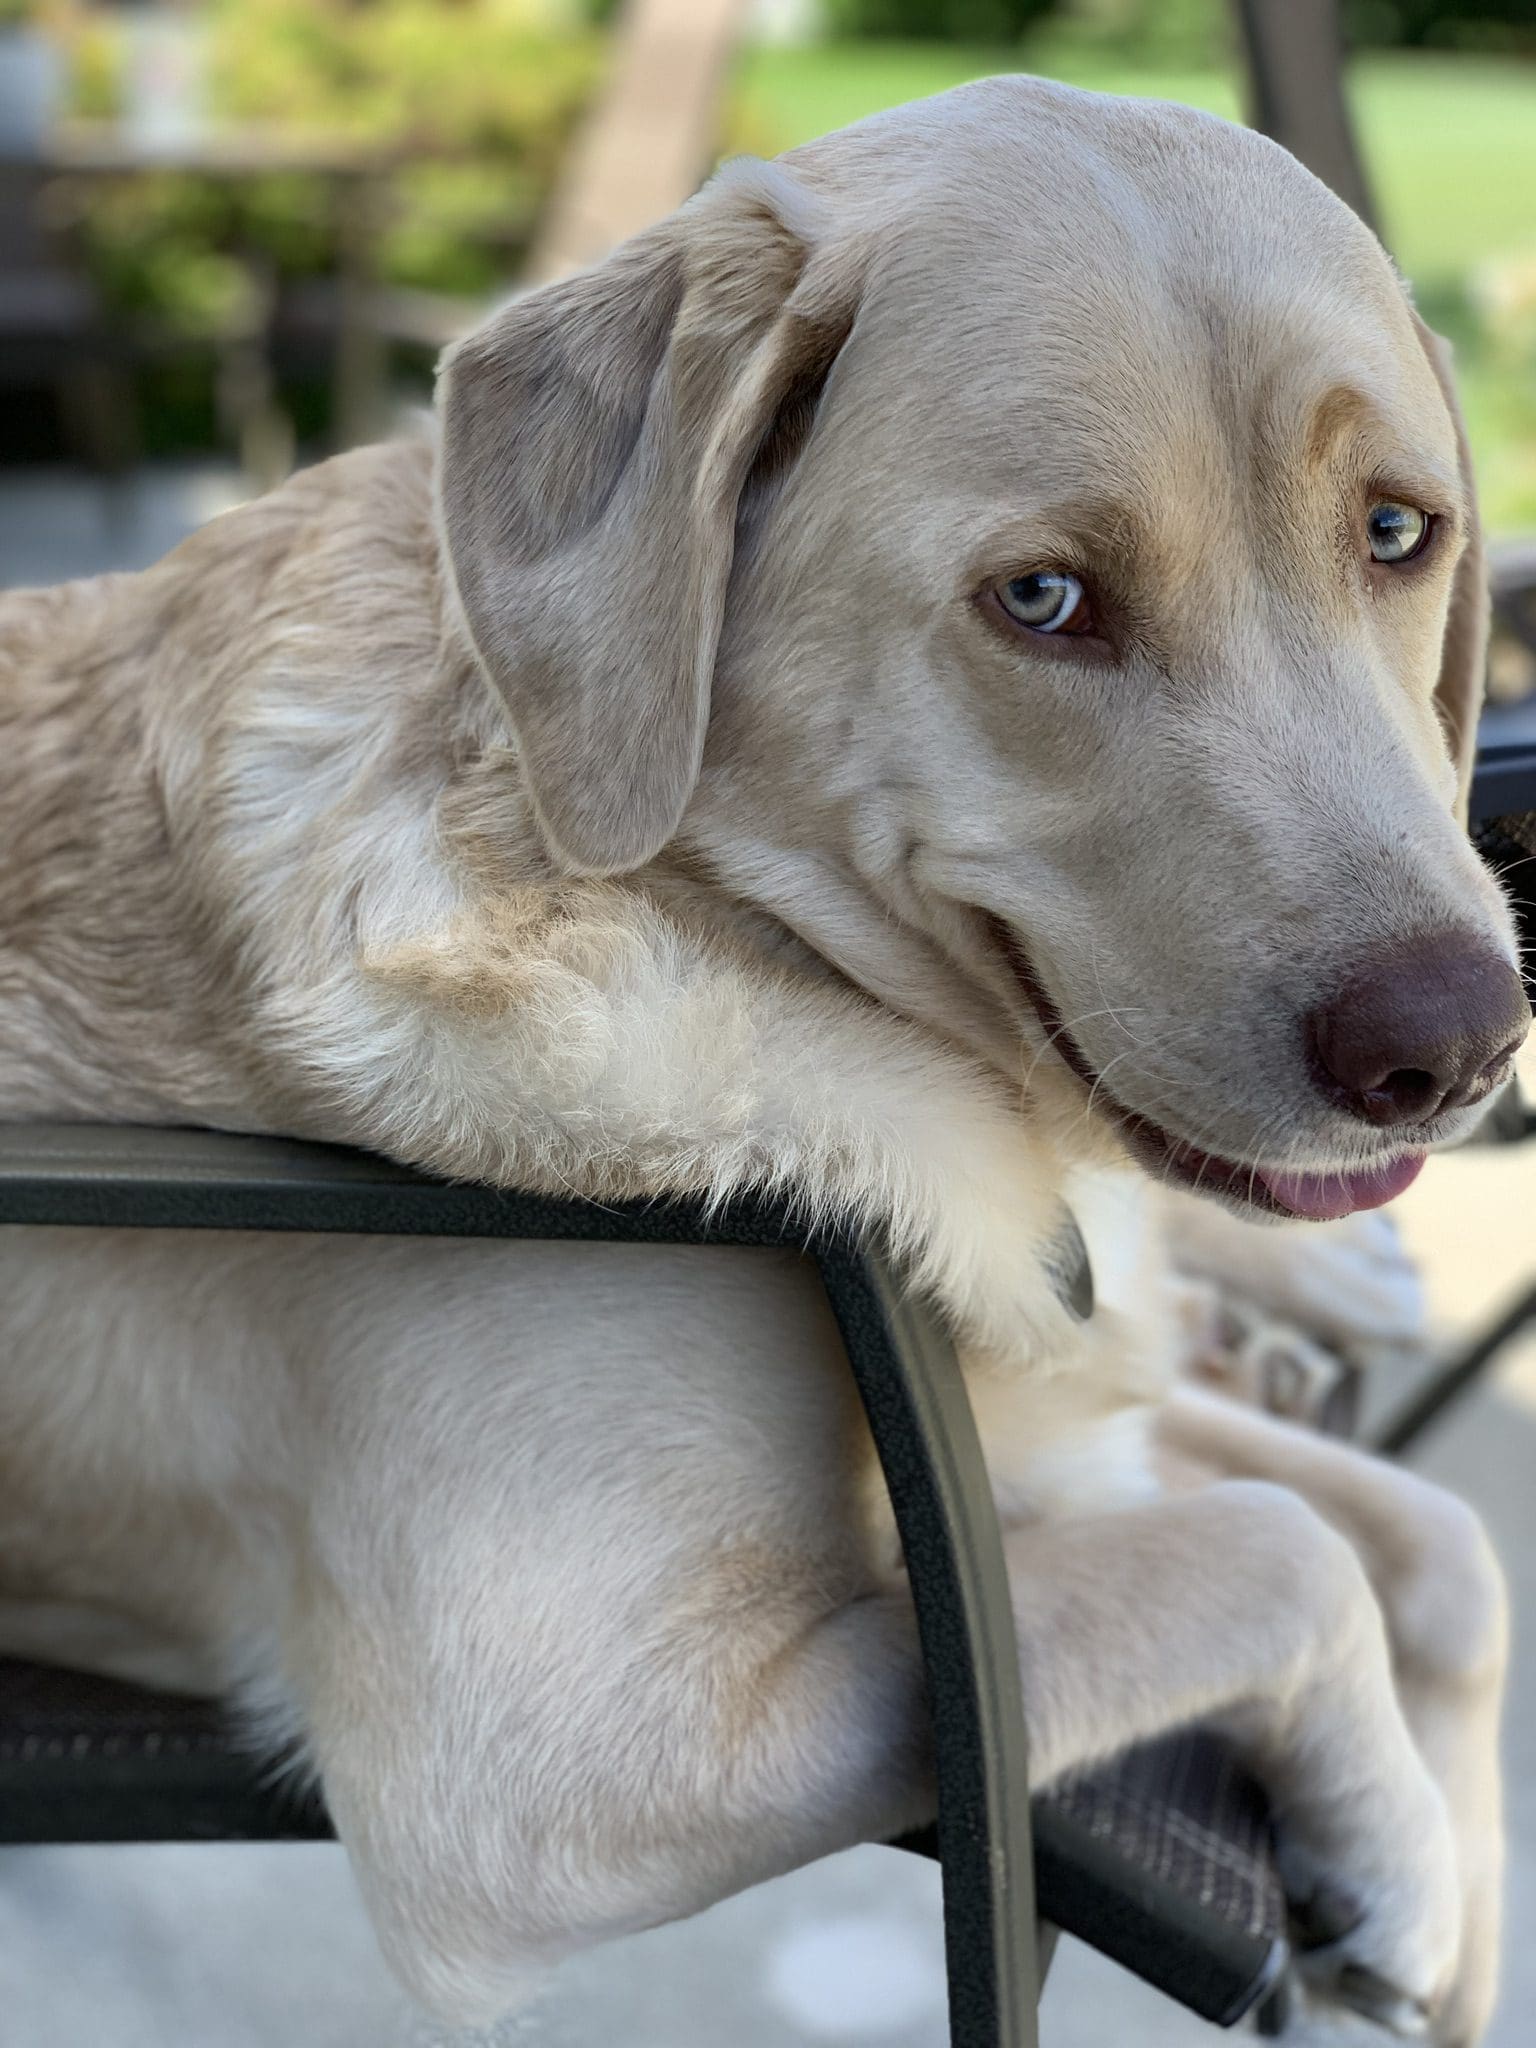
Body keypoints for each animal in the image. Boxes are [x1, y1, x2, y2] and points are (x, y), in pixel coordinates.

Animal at [0, 79, 1523, 2048]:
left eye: (1399, 532)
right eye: (1045, 599)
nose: (1461, 1044)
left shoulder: (1064, 1418)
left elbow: (1439, 1542)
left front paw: (1448, 1898)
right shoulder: (551, 1775)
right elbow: (1282, 1546)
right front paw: (1403, 1852)